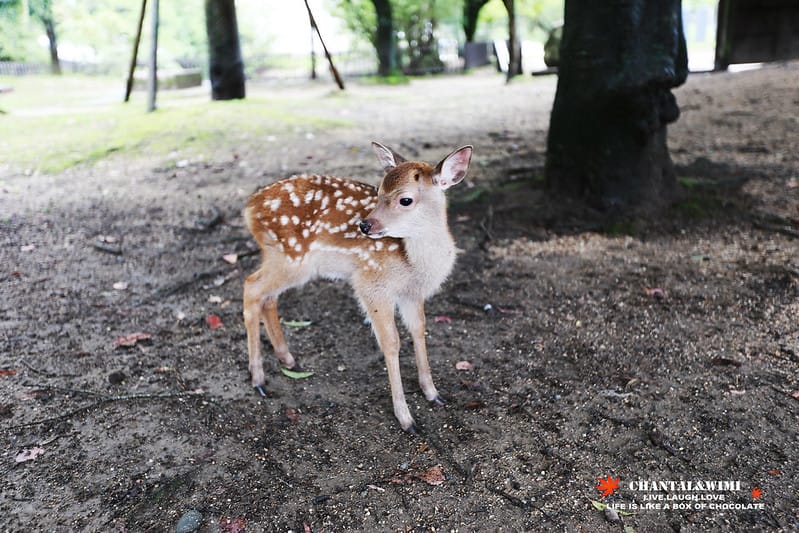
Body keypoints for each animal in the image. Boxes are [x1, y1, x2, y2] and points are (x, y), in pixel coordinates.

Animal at [243, 142, 473, 433]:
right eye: (379, 191)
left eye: (405, 199)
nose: (365, 225)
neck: (414, 263)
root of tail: (249, 208)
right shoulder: (371, 283)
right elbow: (391, 343)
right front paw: (406, 418)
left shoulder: (412, 293)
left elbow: (419, 330)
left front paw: (432, 392)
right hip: (291, 258)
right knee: (251, 287)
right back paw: (258, 379)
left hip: (285, 260)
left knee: (267, 296)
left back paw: (287, 359)